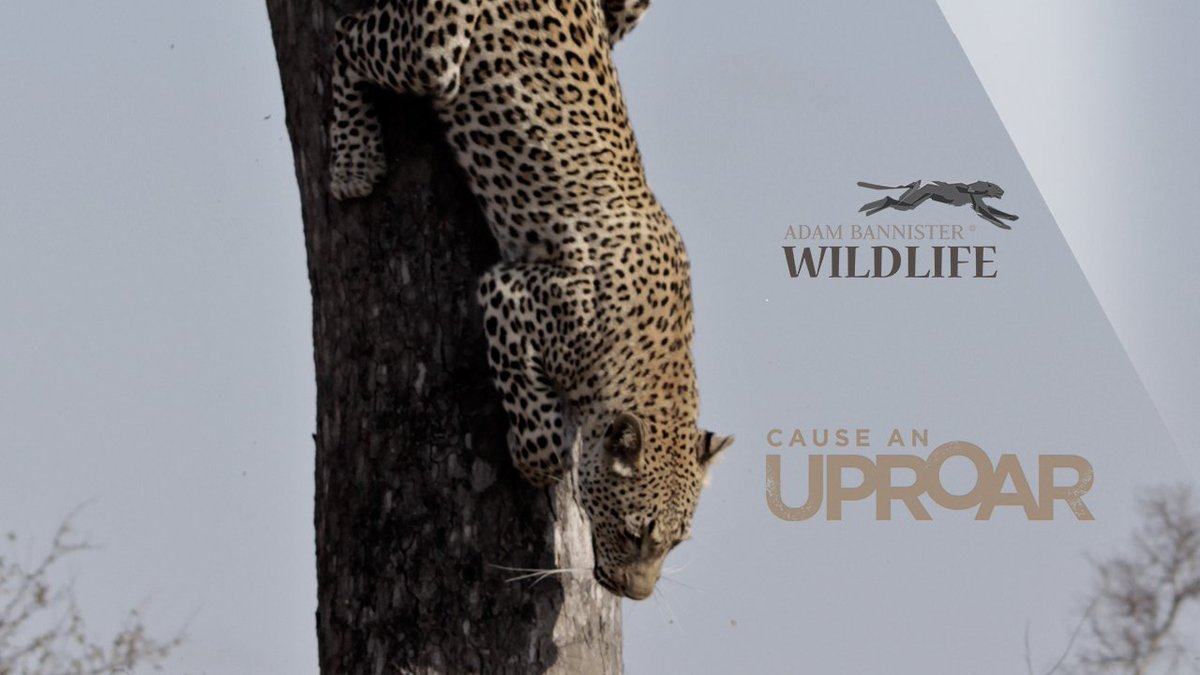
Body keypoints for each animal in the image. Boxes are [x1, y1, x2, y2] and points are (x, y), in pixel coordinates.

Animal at [328, 0, 732, 600]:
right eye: (635, 532)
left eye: (676, 543)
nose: (637, 593)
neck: (656, 355)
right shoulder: (512, 290)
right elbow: (543, 441)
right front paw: (532, 460)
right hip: (434, 50)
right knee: (345, 37)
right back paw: (353, 162)